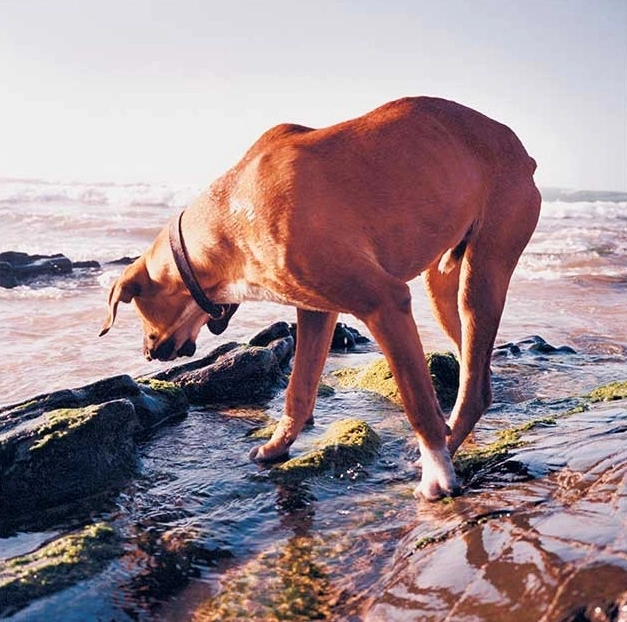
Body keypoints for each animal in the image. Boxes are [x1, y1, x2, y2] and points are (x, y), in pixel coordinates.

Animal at [100, 97, 544, 502]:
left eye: (139, 310)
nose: (148, 353)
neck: (229, 216)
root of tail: (521, 152)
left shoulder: (386, 302)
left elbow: (417, 401)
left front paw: (437, 475)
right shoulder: (316, 312)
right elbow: (299, 389)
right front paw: (278, 446)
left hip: (480, 280)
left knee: (471, 389)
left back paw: (439, 458)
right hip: (444, 290)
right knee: (478, 375)